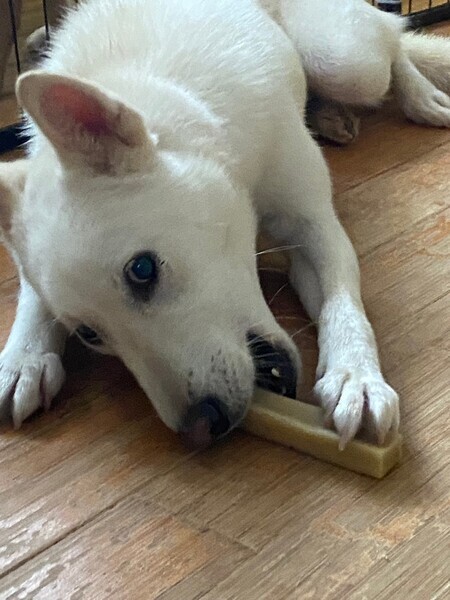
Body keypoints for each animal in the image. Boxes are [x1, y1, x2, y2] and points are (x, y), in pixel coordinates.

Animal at [1, 0, 449, 449]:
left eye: (142, 270)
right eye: (89, 334)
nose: (201, 428)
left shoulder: (313, 223)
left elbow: (342, 298)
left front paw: (355, 374)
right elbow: (32, 296)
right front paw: (25, 355)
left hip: (343, 59)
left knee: (393, 39)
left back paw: (419, 95)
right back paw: (331, 114)